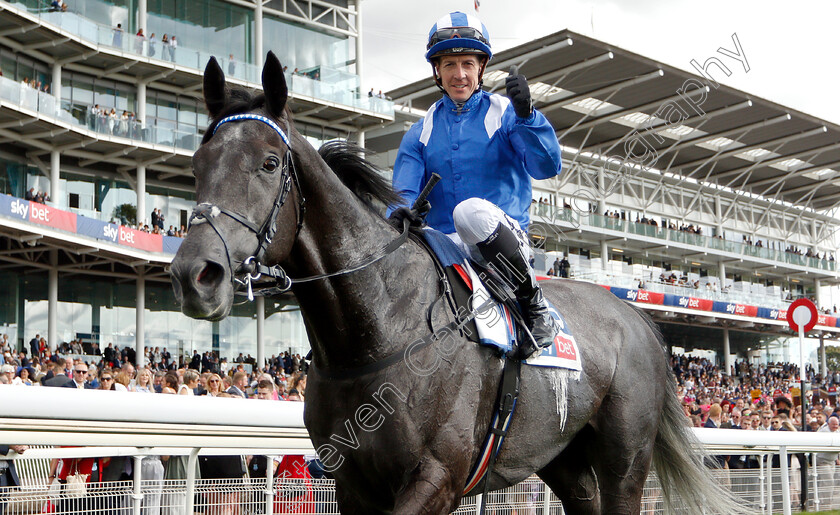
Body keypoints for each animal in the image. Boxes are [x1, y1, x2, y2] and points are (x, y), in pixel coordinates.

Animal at [171, 52, 748, 515]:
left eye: (270, 163)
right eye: (197, 163)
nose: (194, 275)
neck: (378, 326)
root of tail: (637, 318)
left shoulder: (438, 478)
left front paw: (521, 101)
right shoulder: (353, 484)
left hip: (625, 459)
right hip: (561, 456)